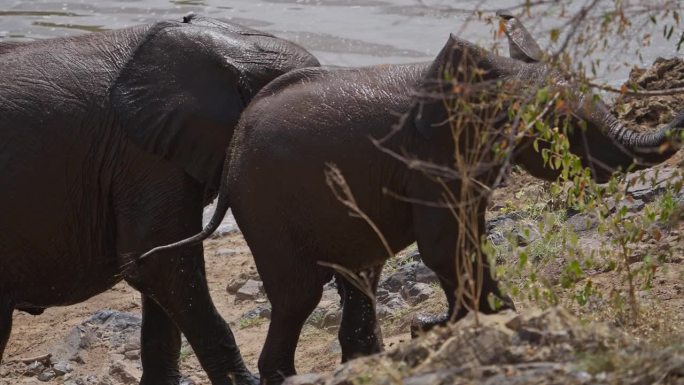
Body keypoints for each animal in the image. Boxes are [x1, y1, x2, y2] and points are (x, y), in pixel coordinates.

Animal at [144, 16, 684, 384]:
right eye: (567, 127)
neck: (495, 73)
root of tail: (232, 153)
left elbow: (463, 239)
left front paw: (439, 326)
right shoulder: (429, 156)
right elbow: (444, 247)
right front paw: (496, 318)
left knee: (355, 276)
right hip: (265, 206)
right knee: (300, 294)